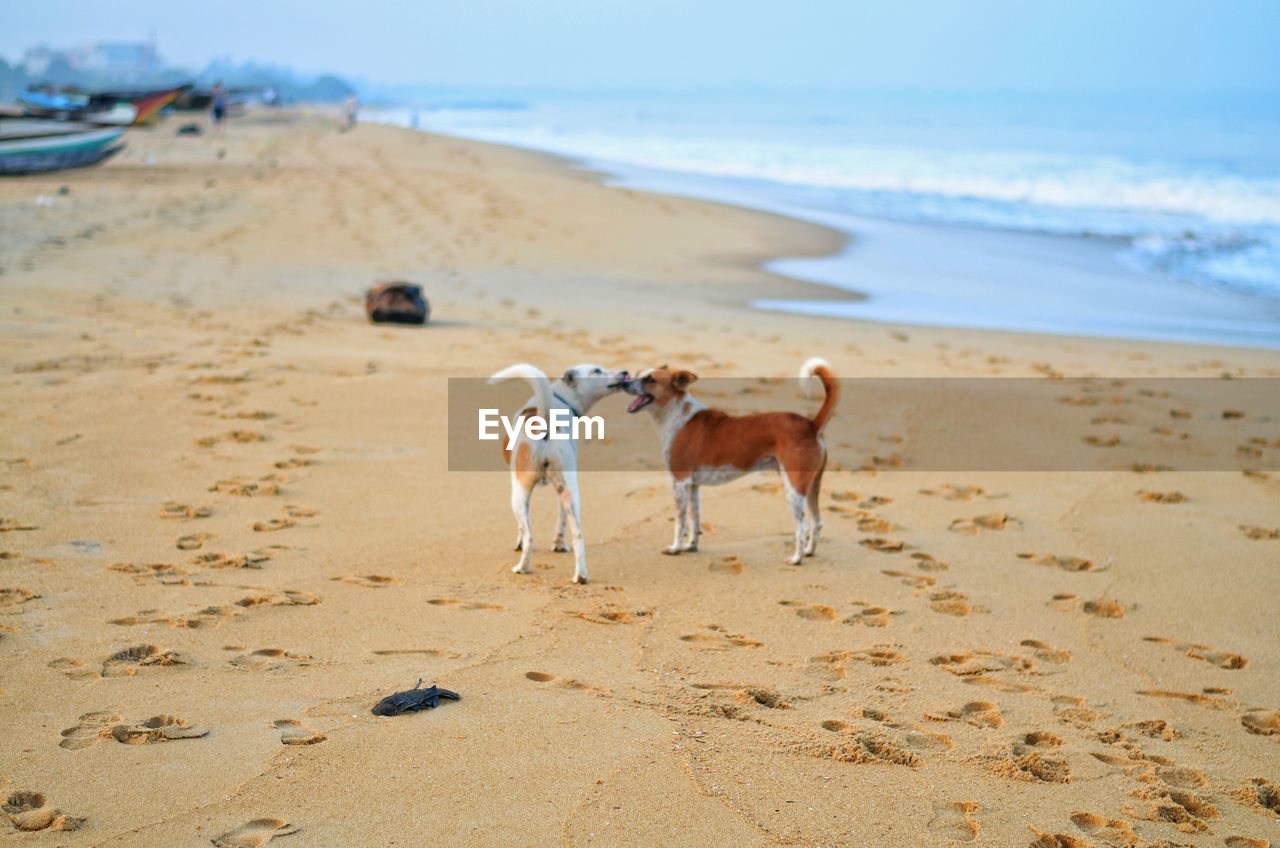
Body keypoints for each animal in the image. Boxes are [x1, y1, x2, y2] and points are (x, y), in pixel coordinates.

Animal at [488, 361, 629, 589]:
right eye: (597, 371)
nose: (625, 372)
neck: (560, 398)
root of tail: (544, 423)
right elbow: (561, 520)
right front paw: (559, 545)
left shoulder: (515, 482)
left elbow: (521, 529)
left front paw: (519, 544)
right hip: (570, 491)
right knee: (578, 534)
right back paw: (581, 576)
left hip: (518, 495)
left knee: (530, 536)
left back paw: (522, 567)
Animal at [619, 356, 839, 563]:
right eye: (638, 374)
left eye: (650, 379)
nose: (623, 382)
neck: (678, 417)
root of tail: (811, 424)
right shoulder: (693, 486)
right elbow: (694, 519)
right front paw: (691, 546)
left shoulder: (680, 483)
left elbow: (680, 523)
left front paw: (675, 548)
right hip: (811, 486)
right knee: (817, 522)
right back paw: (809, 552)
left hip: (794, 488)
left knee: (802, 527)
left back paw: (796, 559)